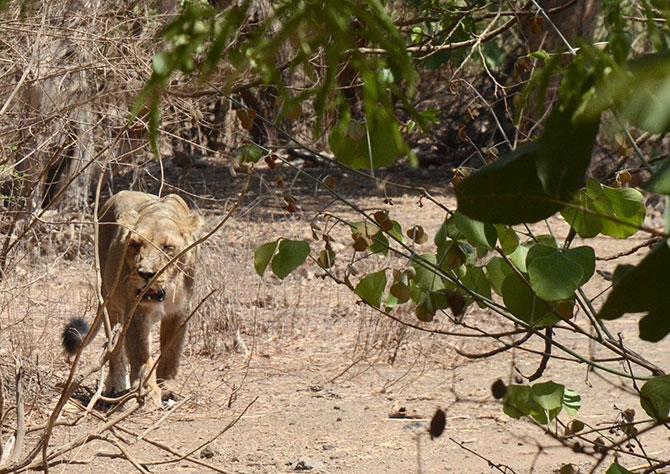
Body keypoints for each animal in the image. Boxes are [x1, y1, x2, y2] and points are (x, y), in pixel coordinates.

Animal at [63, 191, 202, 406]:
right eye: (135, 245)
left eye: (167, 247)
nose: (145, 273)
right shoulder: (136, 311)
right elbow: (140, 354)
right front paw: (148, 392)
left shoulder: (181, 310)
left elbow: (172, 350)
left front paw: (167, 386)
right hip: (111, 302)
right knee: (115, 348)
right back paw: (116, 386)